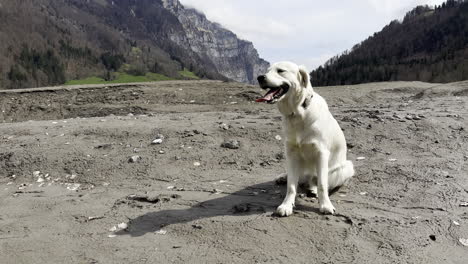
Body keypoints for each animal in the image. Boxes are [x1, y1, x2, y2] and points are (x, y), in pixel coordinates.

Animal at [256, 62, 354, 217]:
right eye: (267, 71)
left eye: (280, 71)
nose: (260, 77)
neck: (297, 112)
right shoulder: (291, 152)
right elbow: (291, 186)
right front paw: (286, 205)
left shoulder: (321, 153)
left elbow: (322, 184)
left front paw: (325, 205)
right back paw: (283, 177)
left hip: (346, 167)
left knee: (318, 181)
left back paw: (313, 190)